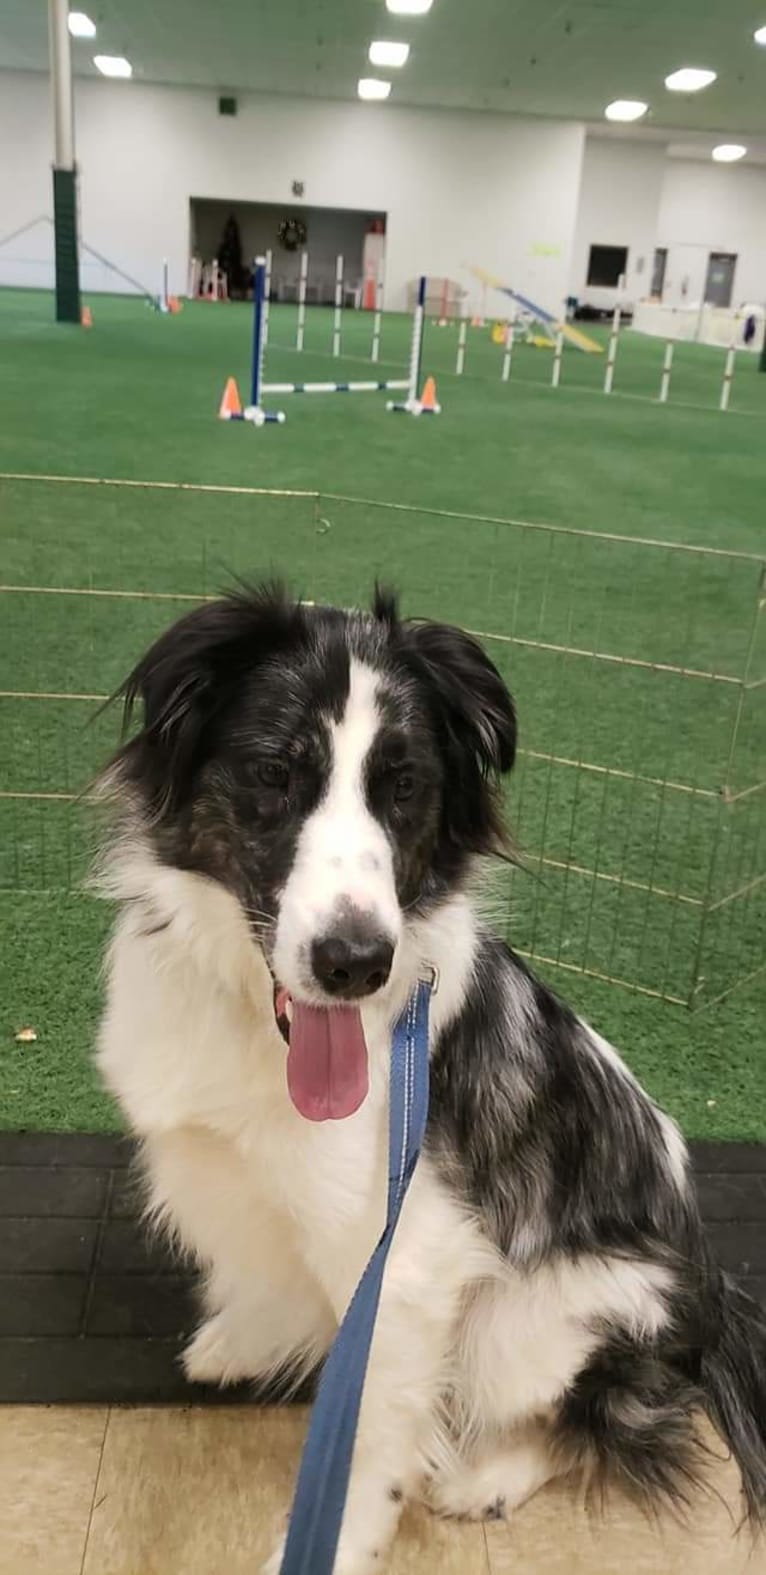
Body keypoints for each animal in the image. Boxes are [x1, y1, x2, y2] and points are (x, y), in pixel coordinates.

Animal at [98, 585, 766, 1568]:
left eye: (405, 787)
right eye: (274, 772)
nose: (355, 963)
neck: (256, 1024)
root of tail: (712, 1306)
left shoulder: (406, 1262)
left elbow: (369, 1440)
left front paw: (333, 1544)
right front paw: (242, 1336)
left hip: (551, 1315)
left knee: (608, 1416)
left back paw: (487, 1479)